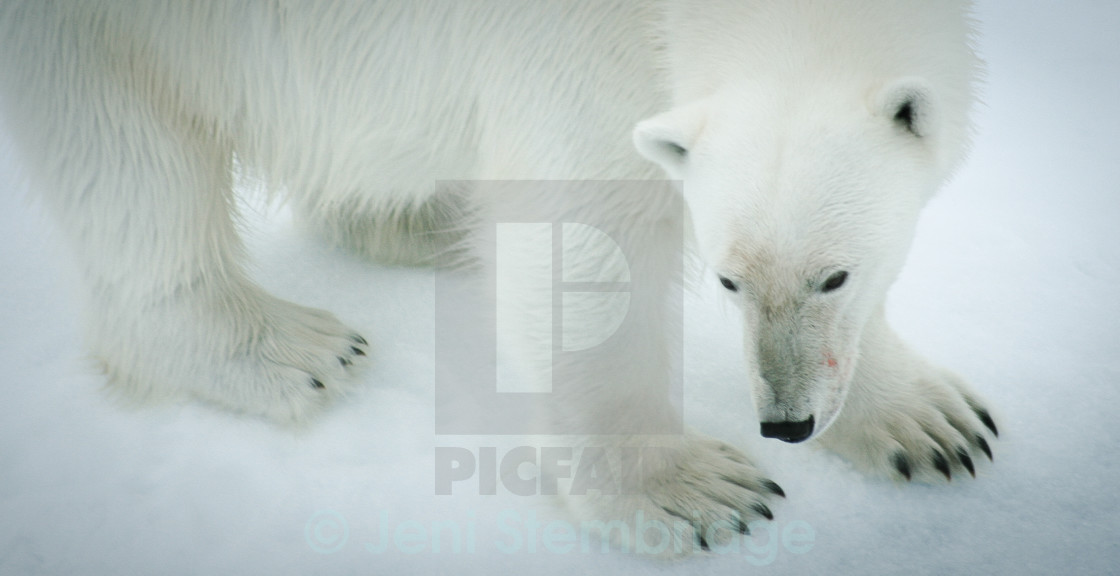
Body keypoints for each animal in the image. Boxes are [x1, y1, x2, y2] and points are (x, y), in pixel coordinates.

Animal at [0, 0, 999, 553]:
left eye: (836, 276)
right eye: (727, 283)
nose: (785, 423)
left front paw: (927, 421)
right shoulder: (579, 51)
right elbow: (580, 241)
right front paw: (691, 492)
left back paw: (424, 218)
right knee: (132, 158)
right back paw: (287, 346)